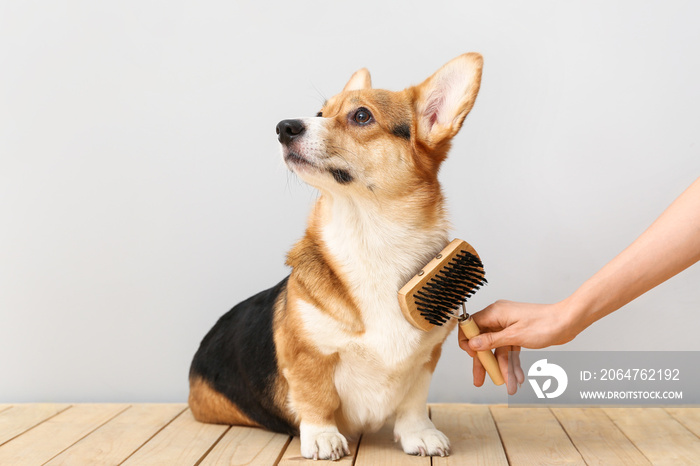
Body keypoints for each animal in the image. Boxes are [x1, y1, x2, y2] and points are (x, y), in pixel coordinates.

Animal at [190, 52, 486, 458]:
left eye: (361, 115)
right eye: (320, 112)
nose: (283, 127)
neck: (370, 239)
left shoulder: (426, 359)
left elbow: (412, 403)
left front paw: (420, 434)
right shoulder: (307, 356)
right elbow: (316, 398)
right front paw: (322, 437)